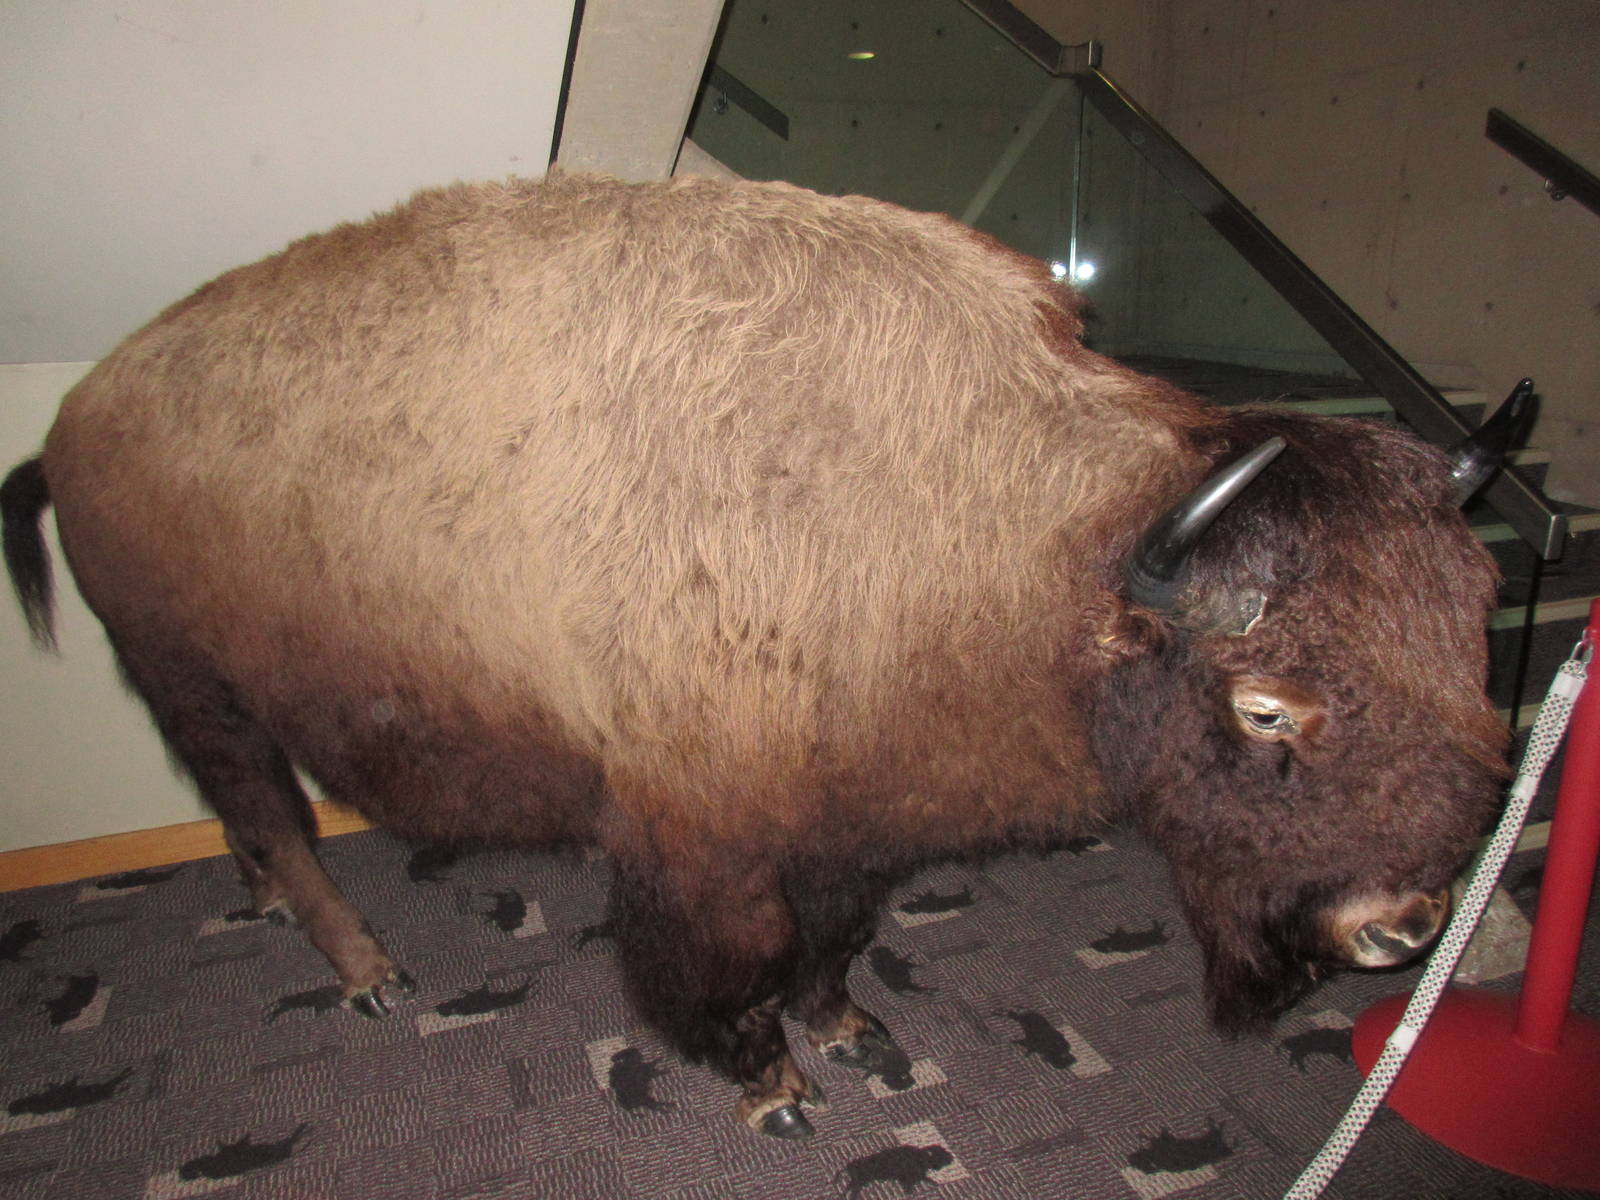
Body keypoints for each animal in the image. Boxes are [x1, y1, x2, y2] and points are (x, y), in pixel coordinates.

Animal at [2, 171, 1509, 1137]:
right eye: (1265, 707)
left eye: (1477, 637)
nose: (1403, 924)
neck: (1022, 538)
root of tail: (77, 419)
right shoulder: (700, 845)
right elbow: (732, 968)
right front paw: (775, 1091)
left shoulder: (853, 819)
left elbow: (835, 939)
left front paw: (845, 1030)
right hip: (199, 681)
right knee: (275, 815)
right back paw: (366, 972)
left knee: (244, 813)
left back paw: (276, 911)